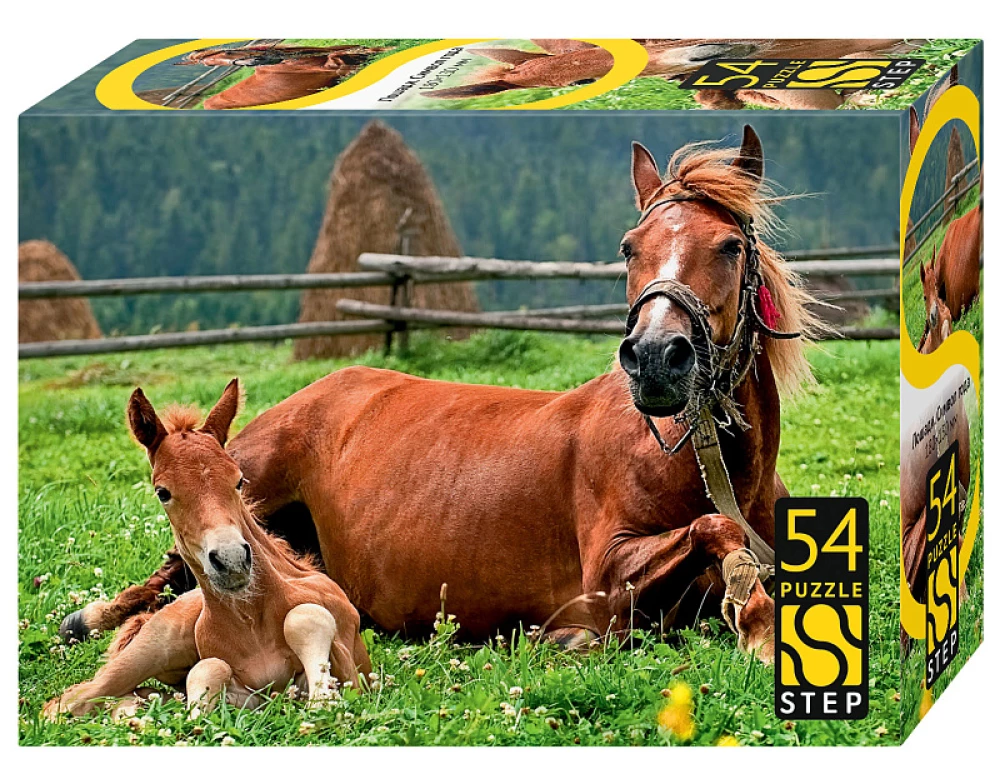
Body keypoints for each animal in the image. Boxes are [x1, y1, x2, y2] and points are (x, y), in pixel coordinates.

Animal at [45, 381, 371, 720]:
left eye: (239, 480)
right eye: (162, 492)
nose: (232, 560)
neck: (251, 620)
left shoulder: (353, 670)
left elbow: (304, 618)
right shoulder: (244, 693)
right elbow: (211, 668)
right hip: (151, 649)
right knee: (71, 700)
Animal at [62, 125, 826, 664]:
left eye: (729, 246)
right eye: (628, 247)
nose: (654, 359)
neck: (699, 461)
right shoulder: (604, 580)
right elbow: (714, 532)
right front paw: (755, 621)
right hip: (244, 487)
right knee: (174, 569)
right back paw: (93, 618)